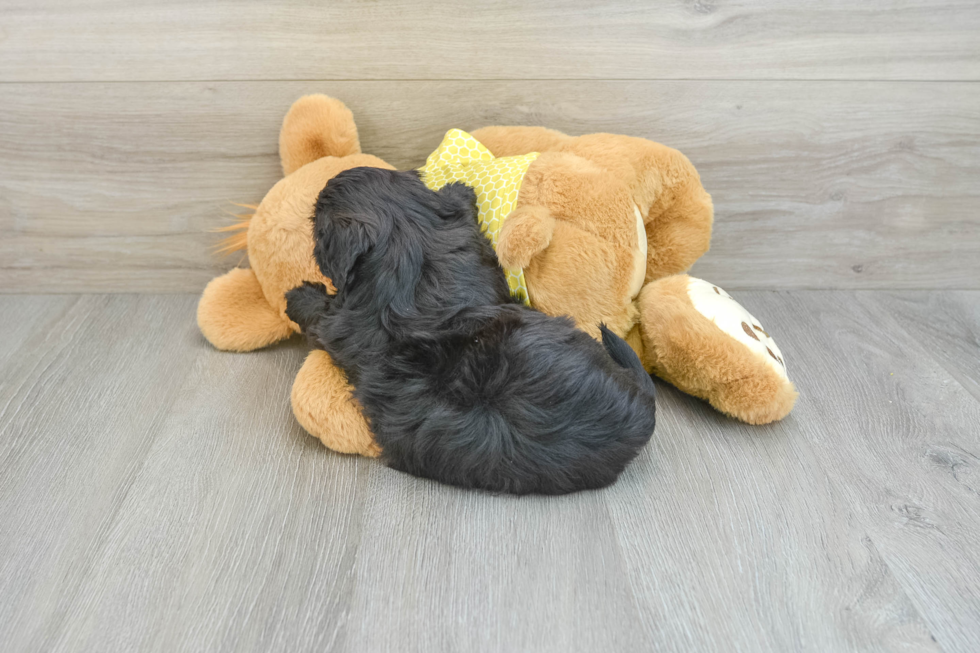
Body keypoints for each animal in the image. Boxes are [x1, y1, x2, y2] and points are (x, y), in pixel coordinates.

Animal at [288, 168, 656, 494]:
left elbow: (320, 317)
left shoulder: (339, 325)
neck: (405, 244)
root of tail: (639, 419)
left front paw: (296, 296)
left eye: (317, 227)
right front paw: (460, 190)